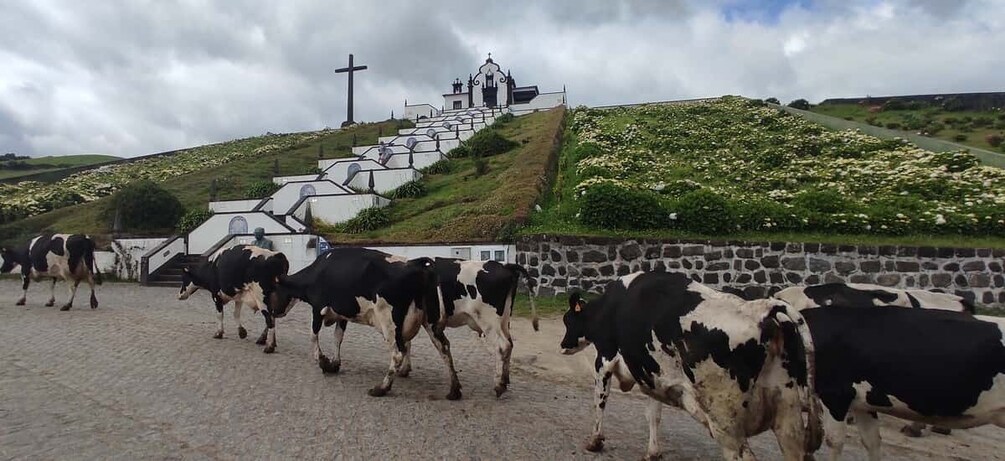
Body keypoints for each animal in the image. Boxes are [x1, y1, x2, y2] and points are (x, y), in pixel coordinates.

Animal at [265, 249, 458, 399]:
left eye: (276, 289)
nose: (274, 311)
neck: (318, 272)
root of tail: (416, 265)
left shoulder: (318, 308)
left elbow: (313, 335)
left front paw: (322, 361)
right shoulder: (342, 314)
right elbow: (337, 338)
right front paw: (334, 363)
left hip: (388, 321)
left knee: (397, 354)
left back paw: (381, 388)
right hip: (431, 321)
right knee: (444, 347)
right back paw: (454, 389)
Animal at [562, 273, 820, 459]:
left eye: (567, 320)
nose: (563, 345)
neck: (608, 307)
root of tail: (761, 309)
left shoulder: (604, 358)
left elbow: (600, 400)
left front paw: (595, 441)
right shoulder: (652, 373)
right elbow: (653, 414)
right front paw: (653, 452)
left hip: (725, 419)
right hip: (788, 414)